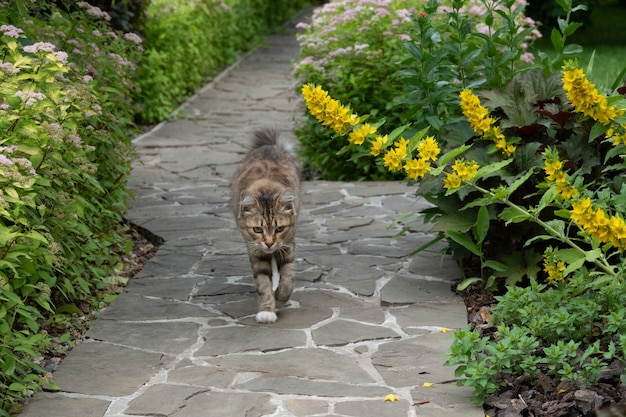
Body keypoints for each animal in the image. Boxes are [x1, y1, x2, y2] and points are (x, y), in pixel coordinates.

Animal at [230, 128, 302, 324]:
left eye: (279, 229)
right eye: (257, 229)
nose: (269, 243)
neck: (266, 189)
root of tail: (269, 146)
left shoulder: (287, 245)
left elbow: (288, 278)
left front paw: (281, 297)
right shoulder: (256, 251)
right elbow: (263, 283)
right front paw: (267, 310)